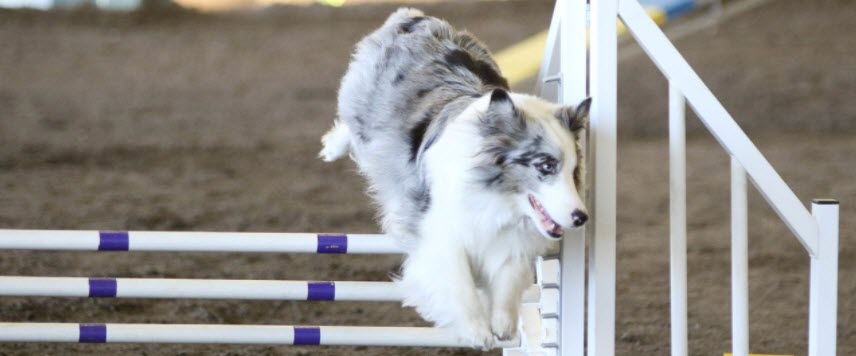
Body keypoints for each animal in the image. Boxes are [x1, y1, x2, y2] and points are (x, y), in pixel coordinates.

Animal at [318, 9, 592, 350]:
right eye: (546, 165)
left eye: (574, 170)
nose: (581, 217)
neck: (498, 198)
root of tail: (415, 17)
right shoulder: (438, 232)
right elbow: (459, 282)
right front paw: (477, 331)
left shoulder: (509, 239)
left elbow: (508, 277)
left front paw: (504, 325)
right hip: (364, 110)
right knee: (351, 126)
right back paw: (332, 147)